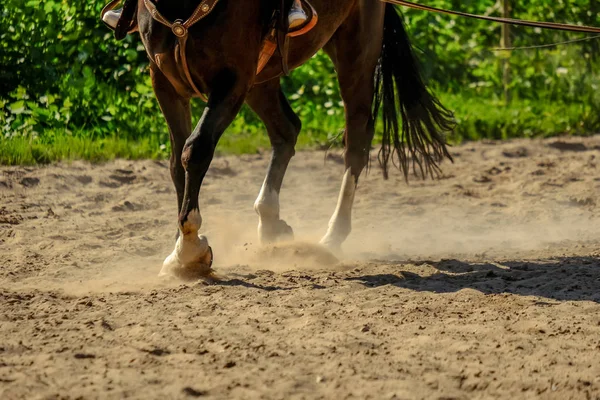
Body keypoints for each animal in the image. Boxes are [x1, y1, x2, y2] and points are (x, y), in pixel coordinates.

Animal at [135, 0, 454, 278]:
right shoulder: (164, 82)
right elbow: (177, 163)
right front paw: (179, 253)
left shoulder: (233, 80)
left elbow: (196, 149)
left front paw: (189, 250)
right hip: (262, 78)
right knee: (286, 130)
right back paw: (270, 220)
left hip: (355, 53)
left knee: (355, 144)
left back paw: (332, 236)